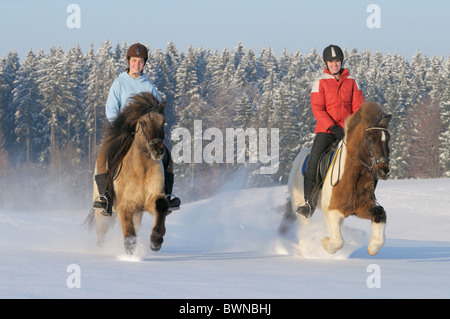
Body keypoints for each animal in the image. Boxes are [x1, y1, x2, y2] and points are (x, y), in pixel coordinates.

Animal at [84, 92, 169, 255]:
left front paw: (156, 240)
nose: (158, 150)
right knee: (101, 233)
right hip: (103, 213)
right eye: (142, 123)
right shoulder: (125, 206)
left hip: (138, 213)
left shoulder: (152, 199)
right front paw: (131, 253)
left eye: (163, 122)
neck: (141, 169)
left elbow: (161, 205)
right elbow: (129, 233)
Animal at [284, 102, 392, 258]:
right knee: (304, 229)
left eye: (388, 139)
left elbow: (380, 214)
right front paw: (324, 242)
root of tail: (298, 159)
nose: (385, 171)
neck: (353, 177)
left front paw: (373, 247)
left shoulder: (361, 206)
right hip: (301, 206)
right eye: (371, 139)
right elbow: (338, 242)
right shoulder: (332, 212)